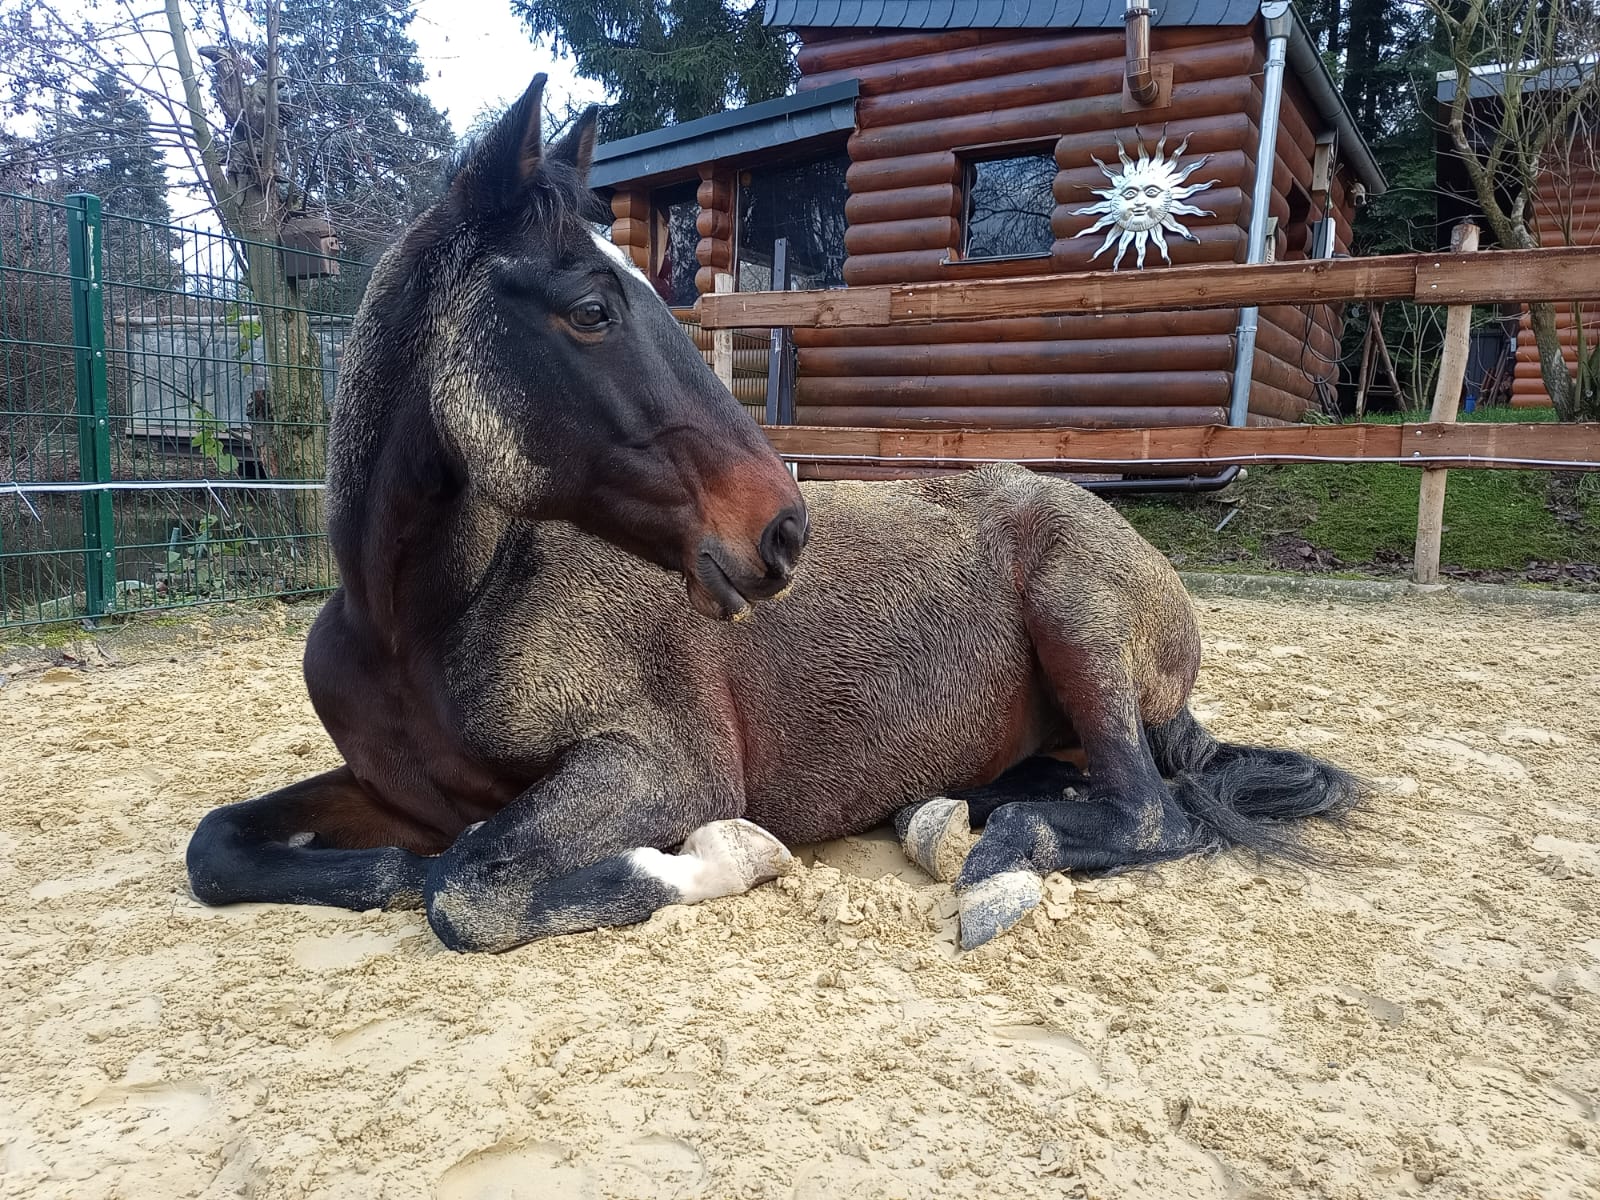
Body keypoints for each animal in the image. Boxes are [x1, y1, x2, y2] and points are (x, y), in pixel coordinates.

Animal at [185, 74, 1365, 953]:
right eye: (591, 309)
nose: (783, 529)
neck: (421, 626)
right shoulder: (394, 792)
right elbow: (235, 849)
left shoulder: (661, 766)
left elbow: (467, 892)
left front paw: (724, 855)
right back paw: (950, 810)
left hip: (1078, 619)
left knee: (1149, 813)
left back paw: (991, 855)